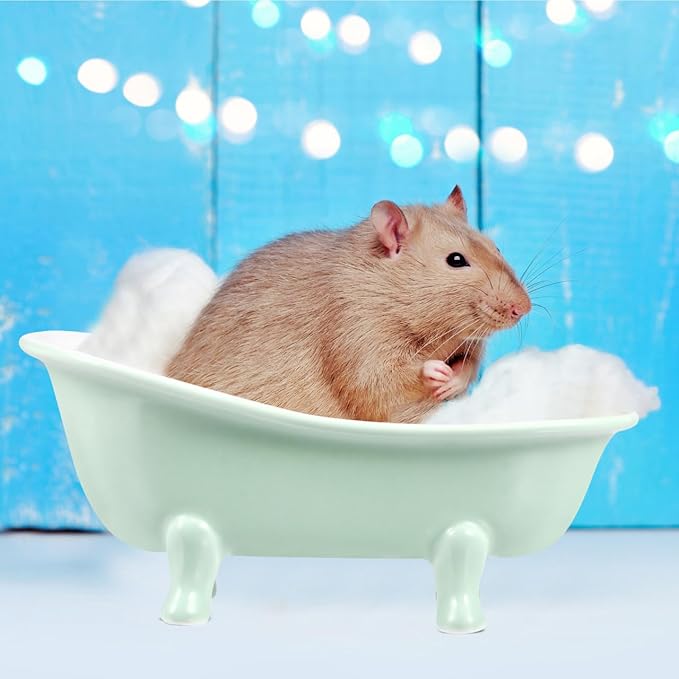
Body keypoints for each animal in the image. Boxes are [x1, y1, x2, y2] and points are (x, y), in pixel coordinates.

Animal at [166, 186, 531, 423]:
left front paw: (454, 378)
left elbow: (472, 358)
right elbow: (374, 383)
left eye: (495, 247)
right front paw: (432, 371)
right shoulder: (355, 327)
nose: (523, 309)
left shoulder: (468, 337)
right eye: (456, 260)